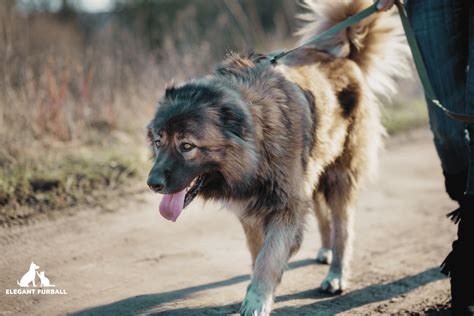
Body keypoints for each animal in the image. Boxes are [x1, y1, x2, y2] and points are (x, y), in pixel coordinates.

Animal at [146, 1, 410, 314]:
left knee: (343, 228)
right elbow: (258, 253)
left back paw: (336, 274)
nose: (152, 183)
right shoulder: (252, 212)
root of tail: (346, 58)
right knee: (323, 215)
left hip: (339, 177)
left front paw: (257, 299)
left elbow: (270, 257)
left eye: (186, 146)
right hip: (314, 171)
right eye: (159, 142)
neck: (256, 141)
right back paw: (325, 249)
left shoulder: (286, 206)